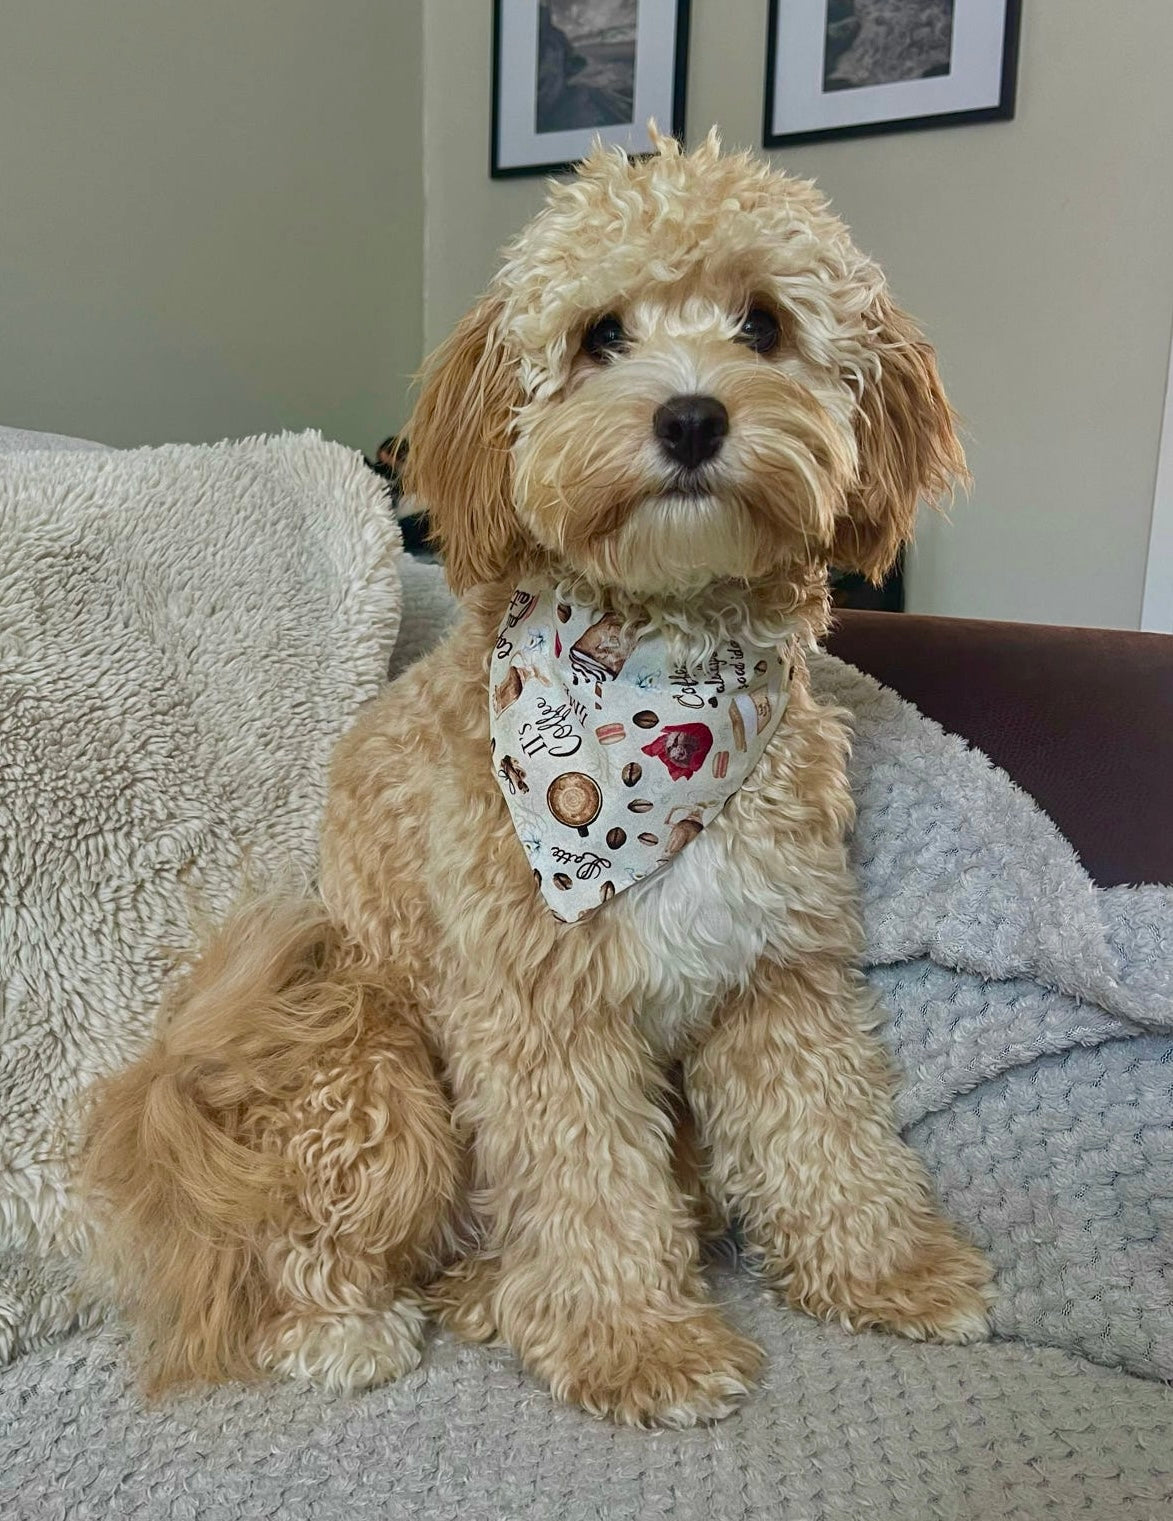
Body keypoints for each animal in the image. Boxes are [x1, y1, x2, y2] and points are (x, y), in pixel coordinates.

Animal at [84, 130, 991, 1423]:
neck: (657, 687)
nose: (693, 417)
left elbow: (826, 1131)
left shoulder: (780, 970)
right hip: (373, 1065)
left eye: (763, 324)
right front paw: (637, 1343)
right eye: (601, 333)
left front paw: (887, 1270)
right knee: (316, 1244)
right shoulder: (539, 1008)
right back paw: (348, 1327)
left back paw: (492, 1296)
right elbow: (588, 1189)